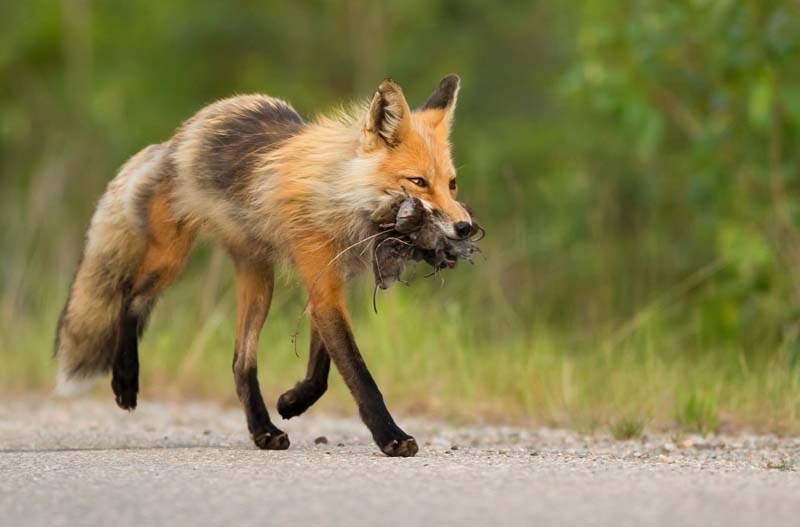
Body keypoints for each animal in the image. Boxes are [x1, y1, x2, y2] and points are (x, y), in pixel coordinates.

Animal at [56, 75, 472, 458]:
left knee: (241, 362)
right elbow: (358, 374)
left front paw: (293, 400)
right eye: (417, 182)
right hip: (170, 259)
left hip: (257, 277)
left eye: (451, 184)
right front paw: (390, 436)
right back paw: (125, 380)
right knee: (130, 297)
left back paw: (262, 429)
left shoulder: (329, 281)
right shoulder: (322, 281)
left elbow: (322, 369)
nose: (465, 227)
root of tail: (175, 140)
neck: (341, 193)